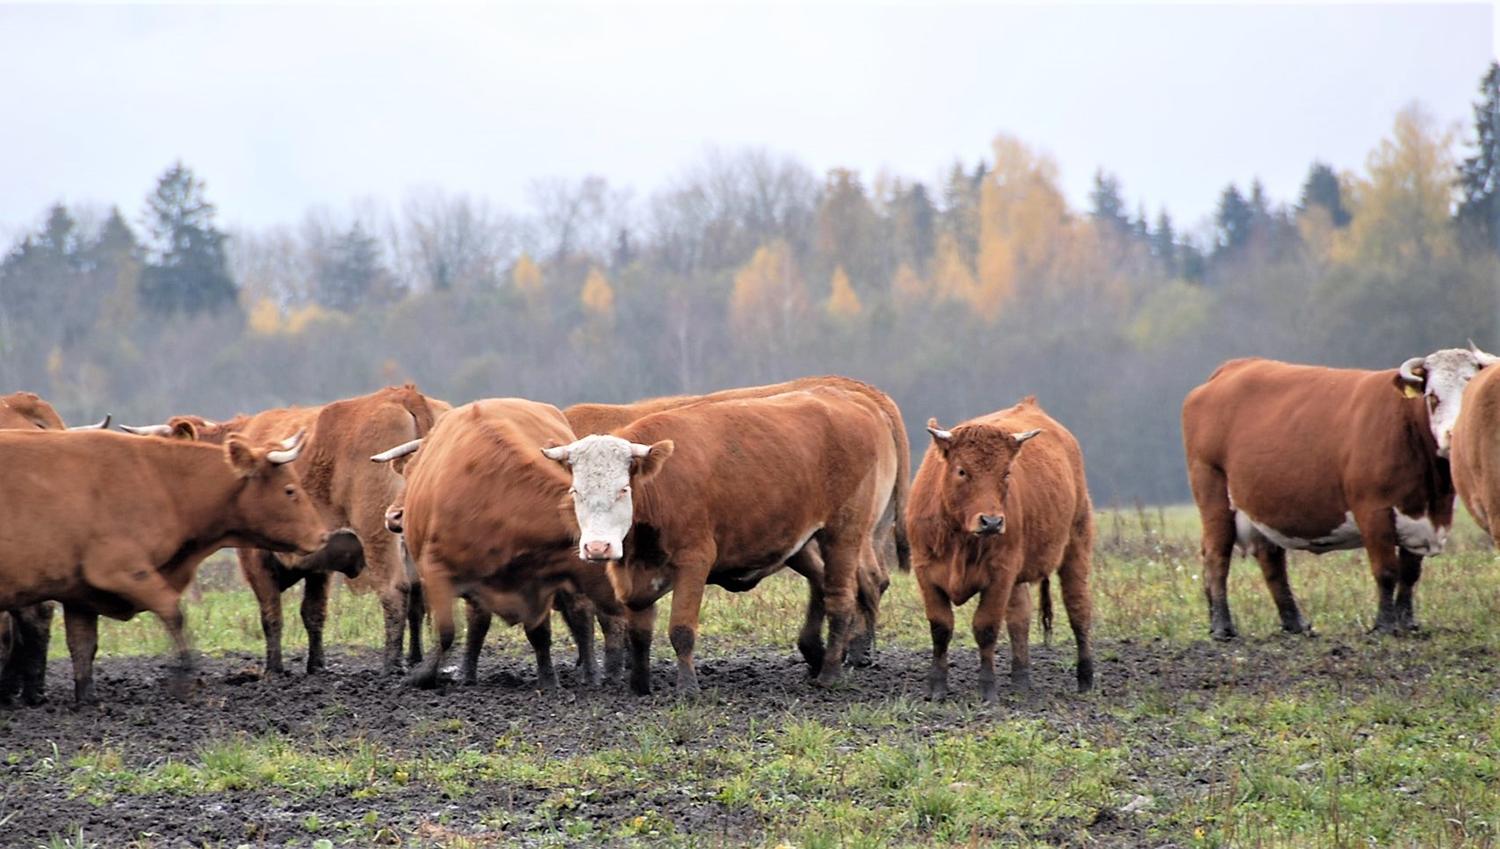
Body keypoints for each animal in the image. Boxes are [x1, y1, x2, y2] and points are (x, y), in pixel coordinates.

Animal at [0, 432, 328, 705]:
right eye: (289, 491)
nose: (323, 536)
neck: (162, 482)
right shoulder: (123, 571)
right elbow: (173, 614)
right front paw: (187, 677)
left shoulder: (80, 593)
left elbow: (82, 645)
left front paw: (87, 698)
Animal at [390, 399, 624, 693]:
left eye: (411, 474)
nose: (394, 516)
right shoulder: (438, 571)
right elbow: (450, 630)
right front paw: (428, 675)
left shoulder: (540, 582)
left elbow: (540, 633)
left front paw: (549, 680)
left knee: (581, 615)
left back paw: (594, 672)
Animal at [906, 399, 1098, 705]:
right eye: (962, 470)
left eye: (1006, 473)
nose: (992, 522)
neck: (960, 538)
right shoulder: (926, 571)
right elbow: (941, 627)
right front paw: (936, 686)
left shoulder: (1000, 575)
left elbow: (986, 628)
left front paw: (987, 688)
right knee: (1019, 618)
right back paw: (1021, 680)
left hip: (1076, 548)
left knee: (1078, 610)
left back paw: (1085, 678)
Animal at [1176, 349, 1494, 642]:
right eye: (1432, 396)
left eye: (1470, 395)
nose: (1453, 436)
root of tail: (1232, 368)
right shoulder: (1373, 510)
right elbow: (1386, 571)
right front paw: (1384, 626)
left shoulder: (1420, 517)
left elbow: (1410, 573)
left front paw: (1407, 624)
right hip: (1213, 494)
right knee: (1216, 557)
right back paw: (1222, 628)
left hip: (1262, 505)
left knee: (1272, 562)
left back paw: (1295, 624)